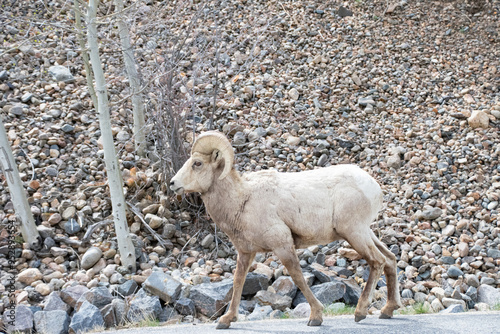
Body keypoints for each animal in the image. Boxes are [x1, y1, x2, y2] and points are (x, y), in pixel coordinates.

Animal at [171, 131, 402, 328]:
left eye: (197, 163)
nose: (173, 184)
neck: (242, 199)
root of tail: (373, 187)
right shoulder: (246, 252)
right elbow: (237, 282)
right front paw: (226, 320)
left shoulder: (282, 245)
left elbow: (297, 277)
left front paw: (316, 317)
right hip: (364, 232)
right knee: (390, 259)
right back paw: (387, 311)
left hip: (354, 233)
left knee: (378, 261)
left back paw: (360, 312)